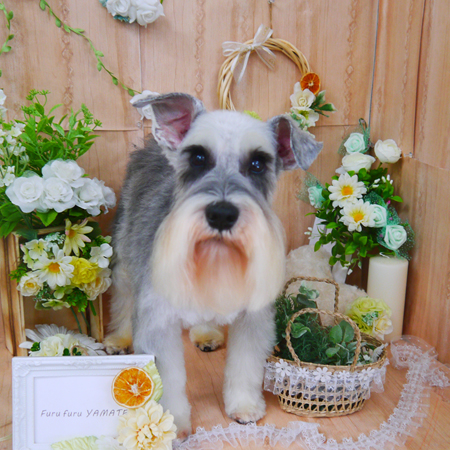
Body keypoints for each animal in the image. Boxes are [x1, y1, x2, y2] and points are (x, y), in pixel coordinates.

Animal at [104, 93, 322, 437]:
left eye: (258, 164)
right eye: (198, 157)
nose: (221, 213)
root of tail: (151, 145)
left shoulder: (253, 317)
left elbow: (245, 364)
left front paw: (244, 405)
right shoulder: (158, 320)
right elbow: (169, 378)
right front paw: (171, 424)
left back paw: (206, 333)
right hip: (125, 254)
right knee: (123, 297)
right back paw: (118, 338)